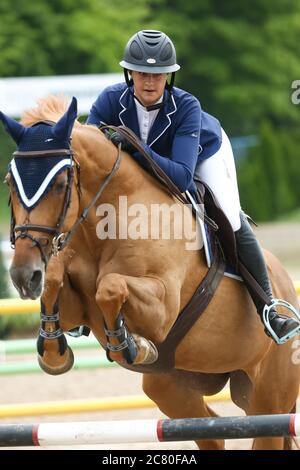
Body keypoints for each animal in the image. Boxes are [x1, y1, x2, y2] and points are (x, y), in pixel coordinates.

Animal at [1, 96, 298, 452]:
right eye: (9, 183)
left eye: (60, 185)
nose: (23, 275)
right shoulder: (76, 310)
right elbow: (56, 284)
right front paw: (54, 353)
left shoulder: (162, 308)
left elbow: (110, 286)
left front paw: (130, 345)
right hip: (171, 387)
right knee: (212, 431)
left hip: (269, 398)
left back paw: (278, 320)